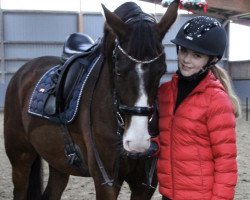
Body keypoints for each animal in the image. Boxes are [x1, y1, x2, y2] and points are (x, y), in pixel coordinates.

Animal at [3, 0, 180, 199]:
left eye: (161, 70)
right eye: (118, 70)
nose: (138, 142)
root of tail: (23, 71)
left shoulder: (144, 185)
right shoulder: (106, 183)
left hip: (59, 163)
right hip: (21, 157)